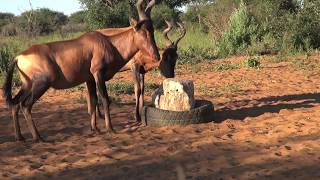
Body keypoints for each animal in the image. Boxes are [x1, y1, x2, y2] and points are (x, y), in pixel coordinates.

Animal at [1, 0, 159, 142]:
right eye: (142, 31)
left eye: (152, 30)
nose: (157, 56)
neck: (108, 43)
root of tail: (19, 56)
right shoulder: (98, 74)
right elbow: (105, 99)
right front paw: (110, 128)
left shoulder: (89, 79)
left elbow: (93, 100)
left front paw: (95, 129)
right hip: (41, 84)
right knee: (25, 105)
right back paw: (38, 137)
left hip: (27, 84)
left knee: (15, 104)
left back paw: (20, 137)